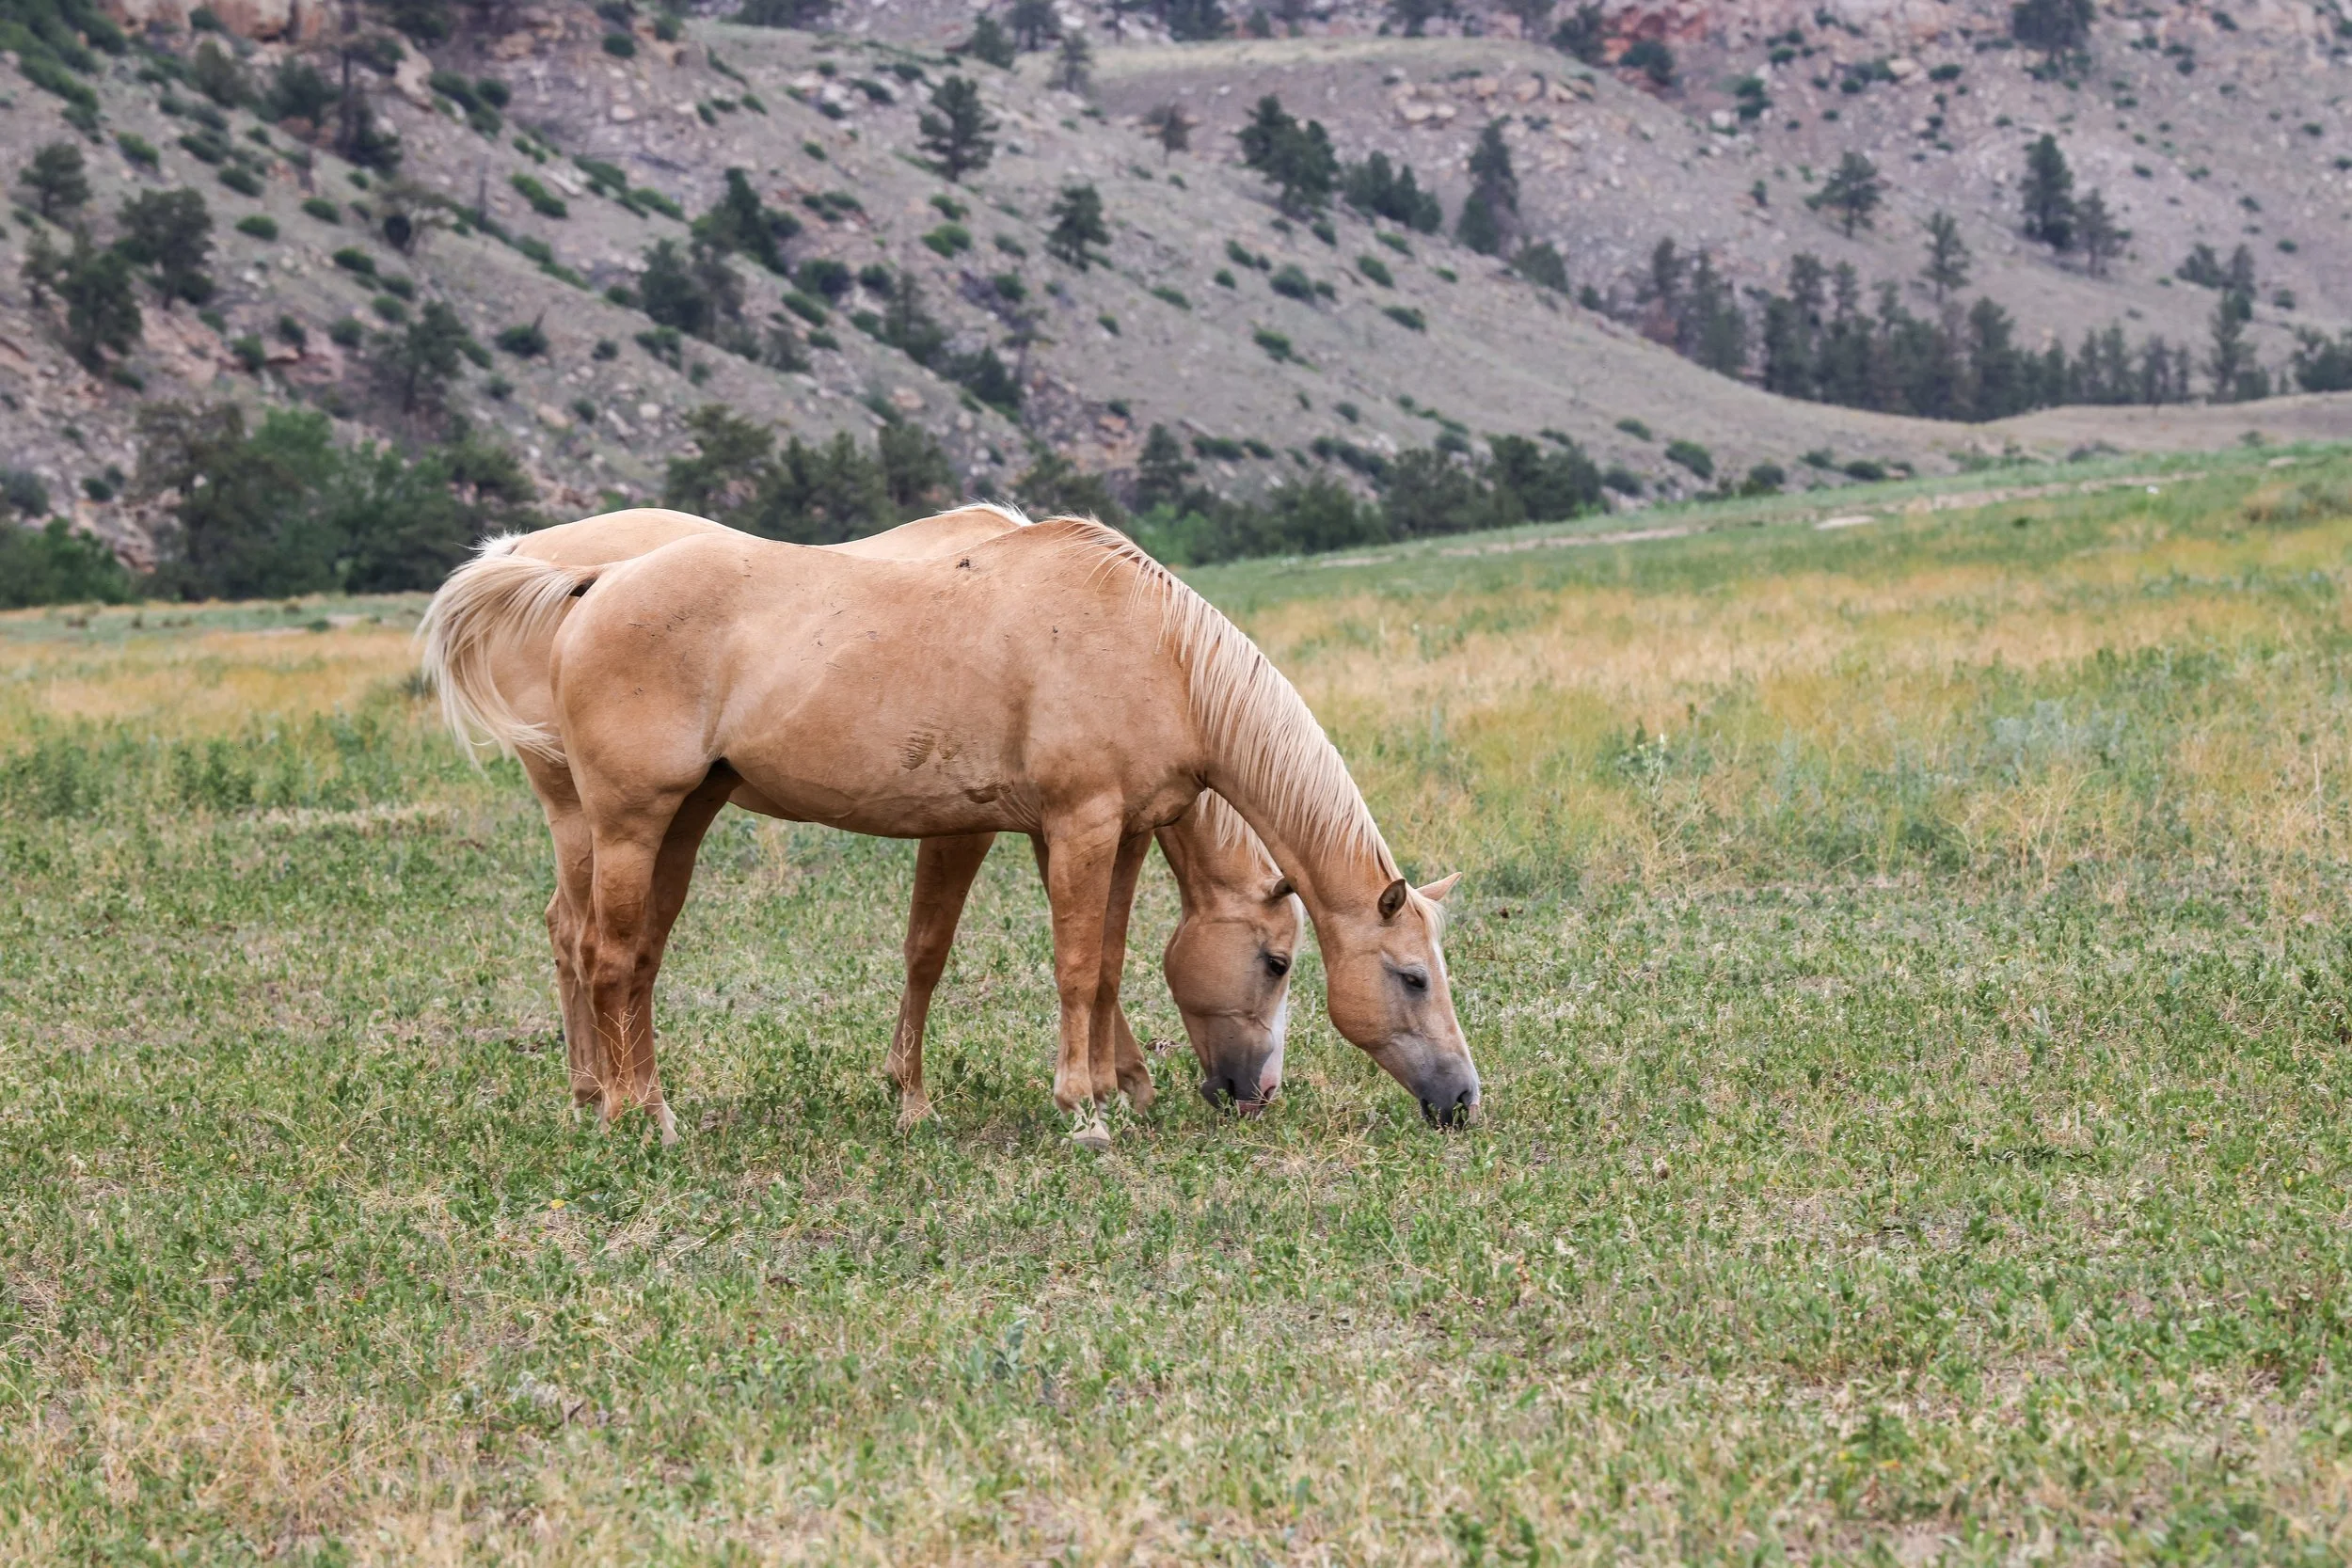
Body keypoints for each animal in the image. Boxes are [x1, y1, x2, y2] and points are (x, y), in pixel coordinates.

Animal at [422, 515, 1475, 1146]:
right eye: (1410, 977)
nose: (1463, 1098)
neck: (1156, 649)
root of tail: (593, 579)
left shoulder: (1118, 831)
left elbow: (1106, 962)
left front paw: (1104, 1089)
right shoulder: (1078, 823)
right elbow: (1073, 967)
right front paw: (1083, 1109)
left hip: (683, 819)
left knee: (634, 958)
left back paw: (632, 1099)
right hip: (622, 820)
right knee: (601, 955)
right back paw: (632, 1115)